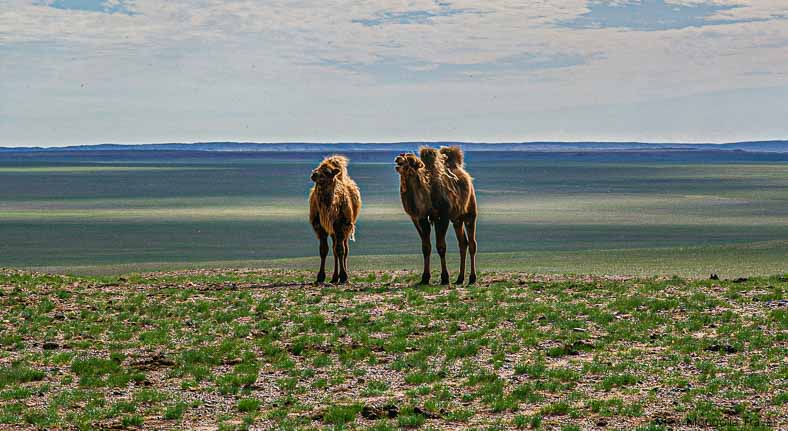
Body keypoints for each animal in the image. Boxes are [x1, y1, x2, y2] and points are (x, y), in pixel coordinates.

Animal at [310, 154, 362, 284]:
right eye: (318, 167)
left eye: (327, 172)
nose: (314, 174)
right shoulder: (319, 226)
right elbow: (323, 250)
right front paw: (320, 277)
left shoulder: (342, 225)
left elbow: (341, 250)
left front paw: (343, 276)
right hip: (334, 231)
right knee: (334, 250)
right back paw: (334, 278)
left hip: (346, 228)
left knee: (344, 249)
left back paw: (342, 275)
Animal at [394, 147, 480, 286]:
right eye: (402, 156)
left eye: (411, 161)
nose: (398, 158)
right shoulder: (420, 218)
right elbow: (426, 247)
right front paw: (425, 278)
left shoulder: (442, 216)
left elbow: (441, 247)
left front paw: (445, 278)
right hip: (457, 219)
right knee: (463, 243)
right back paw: (460, 278)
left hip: (470, 213)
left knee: (472, 243)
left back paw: (472, 278)